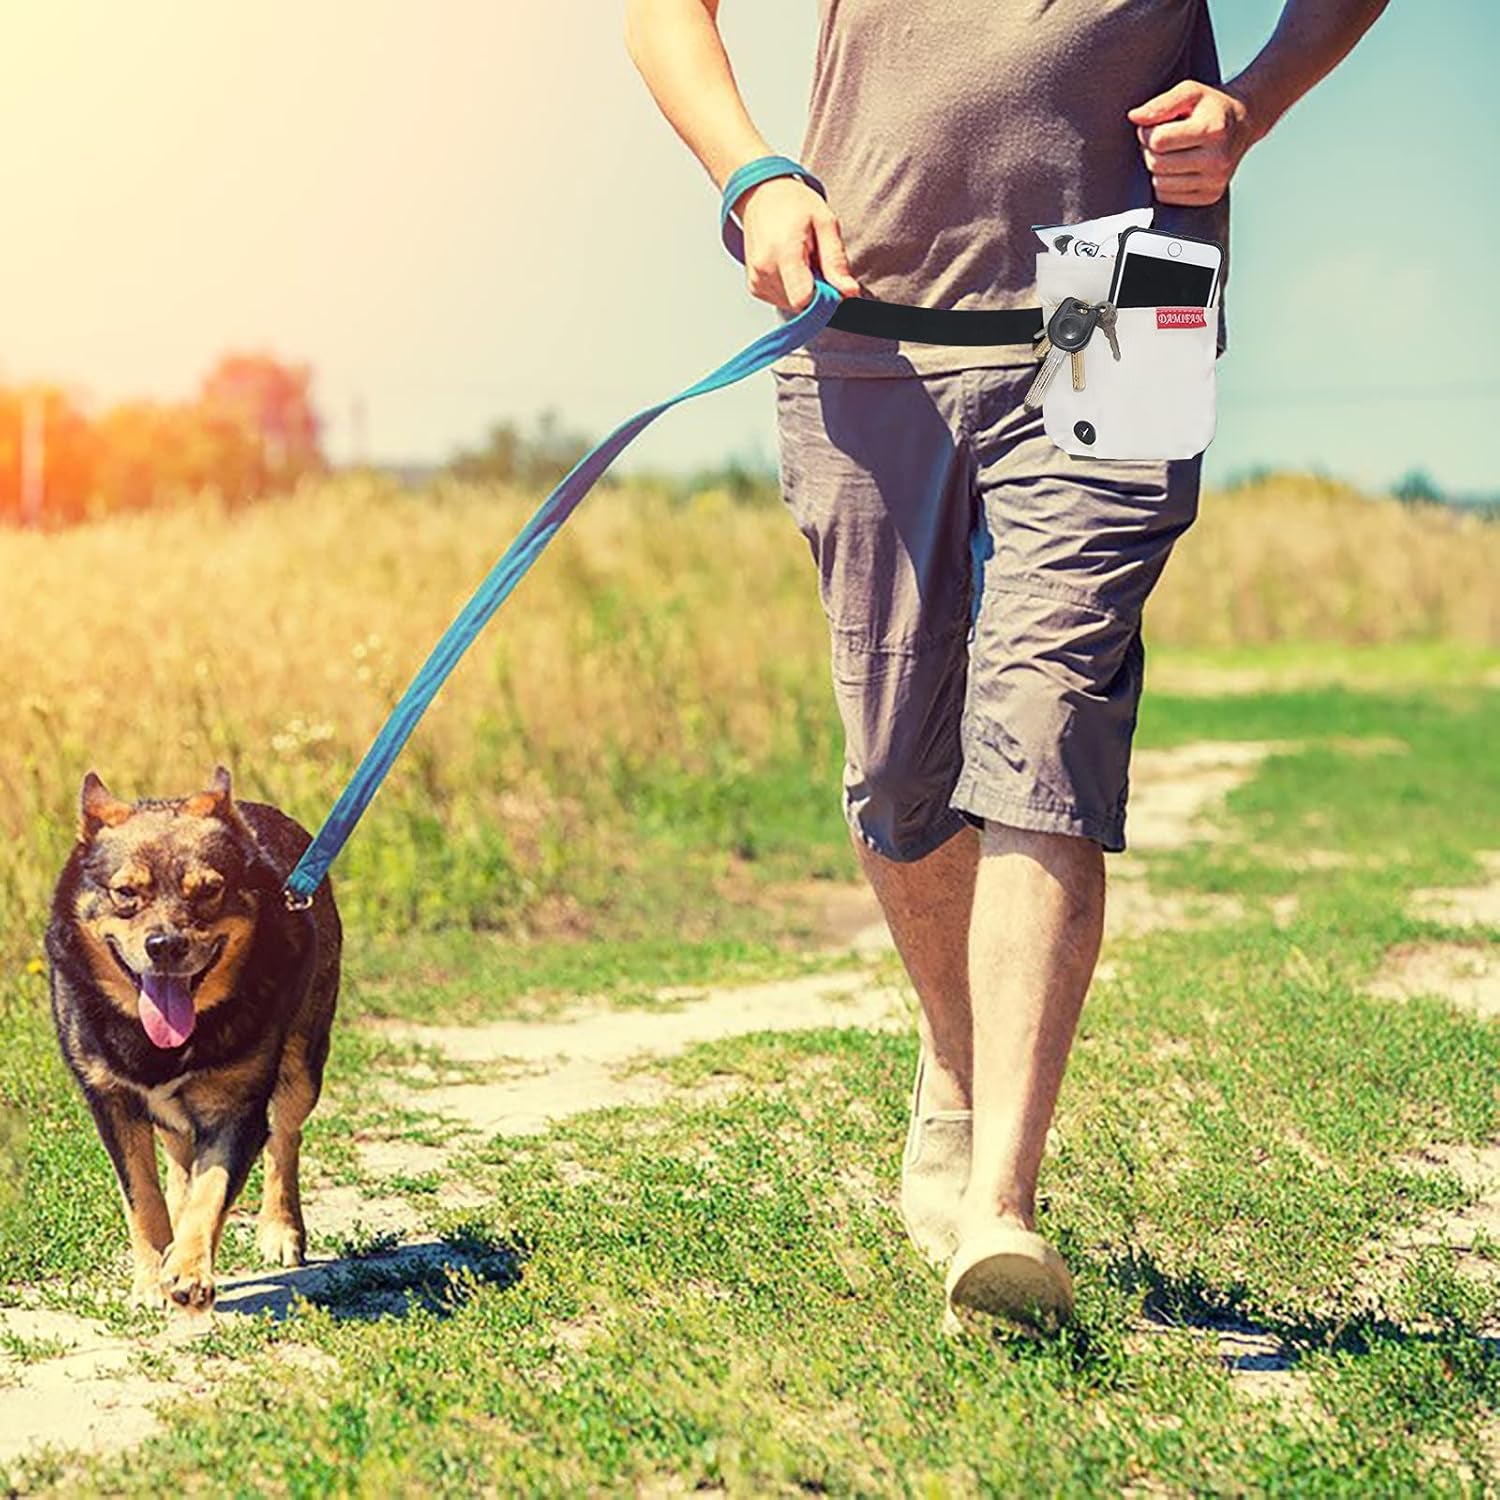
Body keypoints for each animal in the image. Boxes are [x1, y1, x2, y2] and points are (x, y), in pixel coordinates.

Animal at [48, 768, 342, 1308]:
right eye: (126, 893)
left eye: (208, 890)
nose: (165, 945)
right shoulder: (112, 1101)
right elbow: (142, 1194)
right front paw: (151, 1278)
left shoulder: (236, 1107)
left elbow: (213, 1189)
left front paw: (187, 1271)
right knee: (179, 1159)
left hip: (303, 1063)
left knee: (285, 1136)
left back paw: (280, 1228)